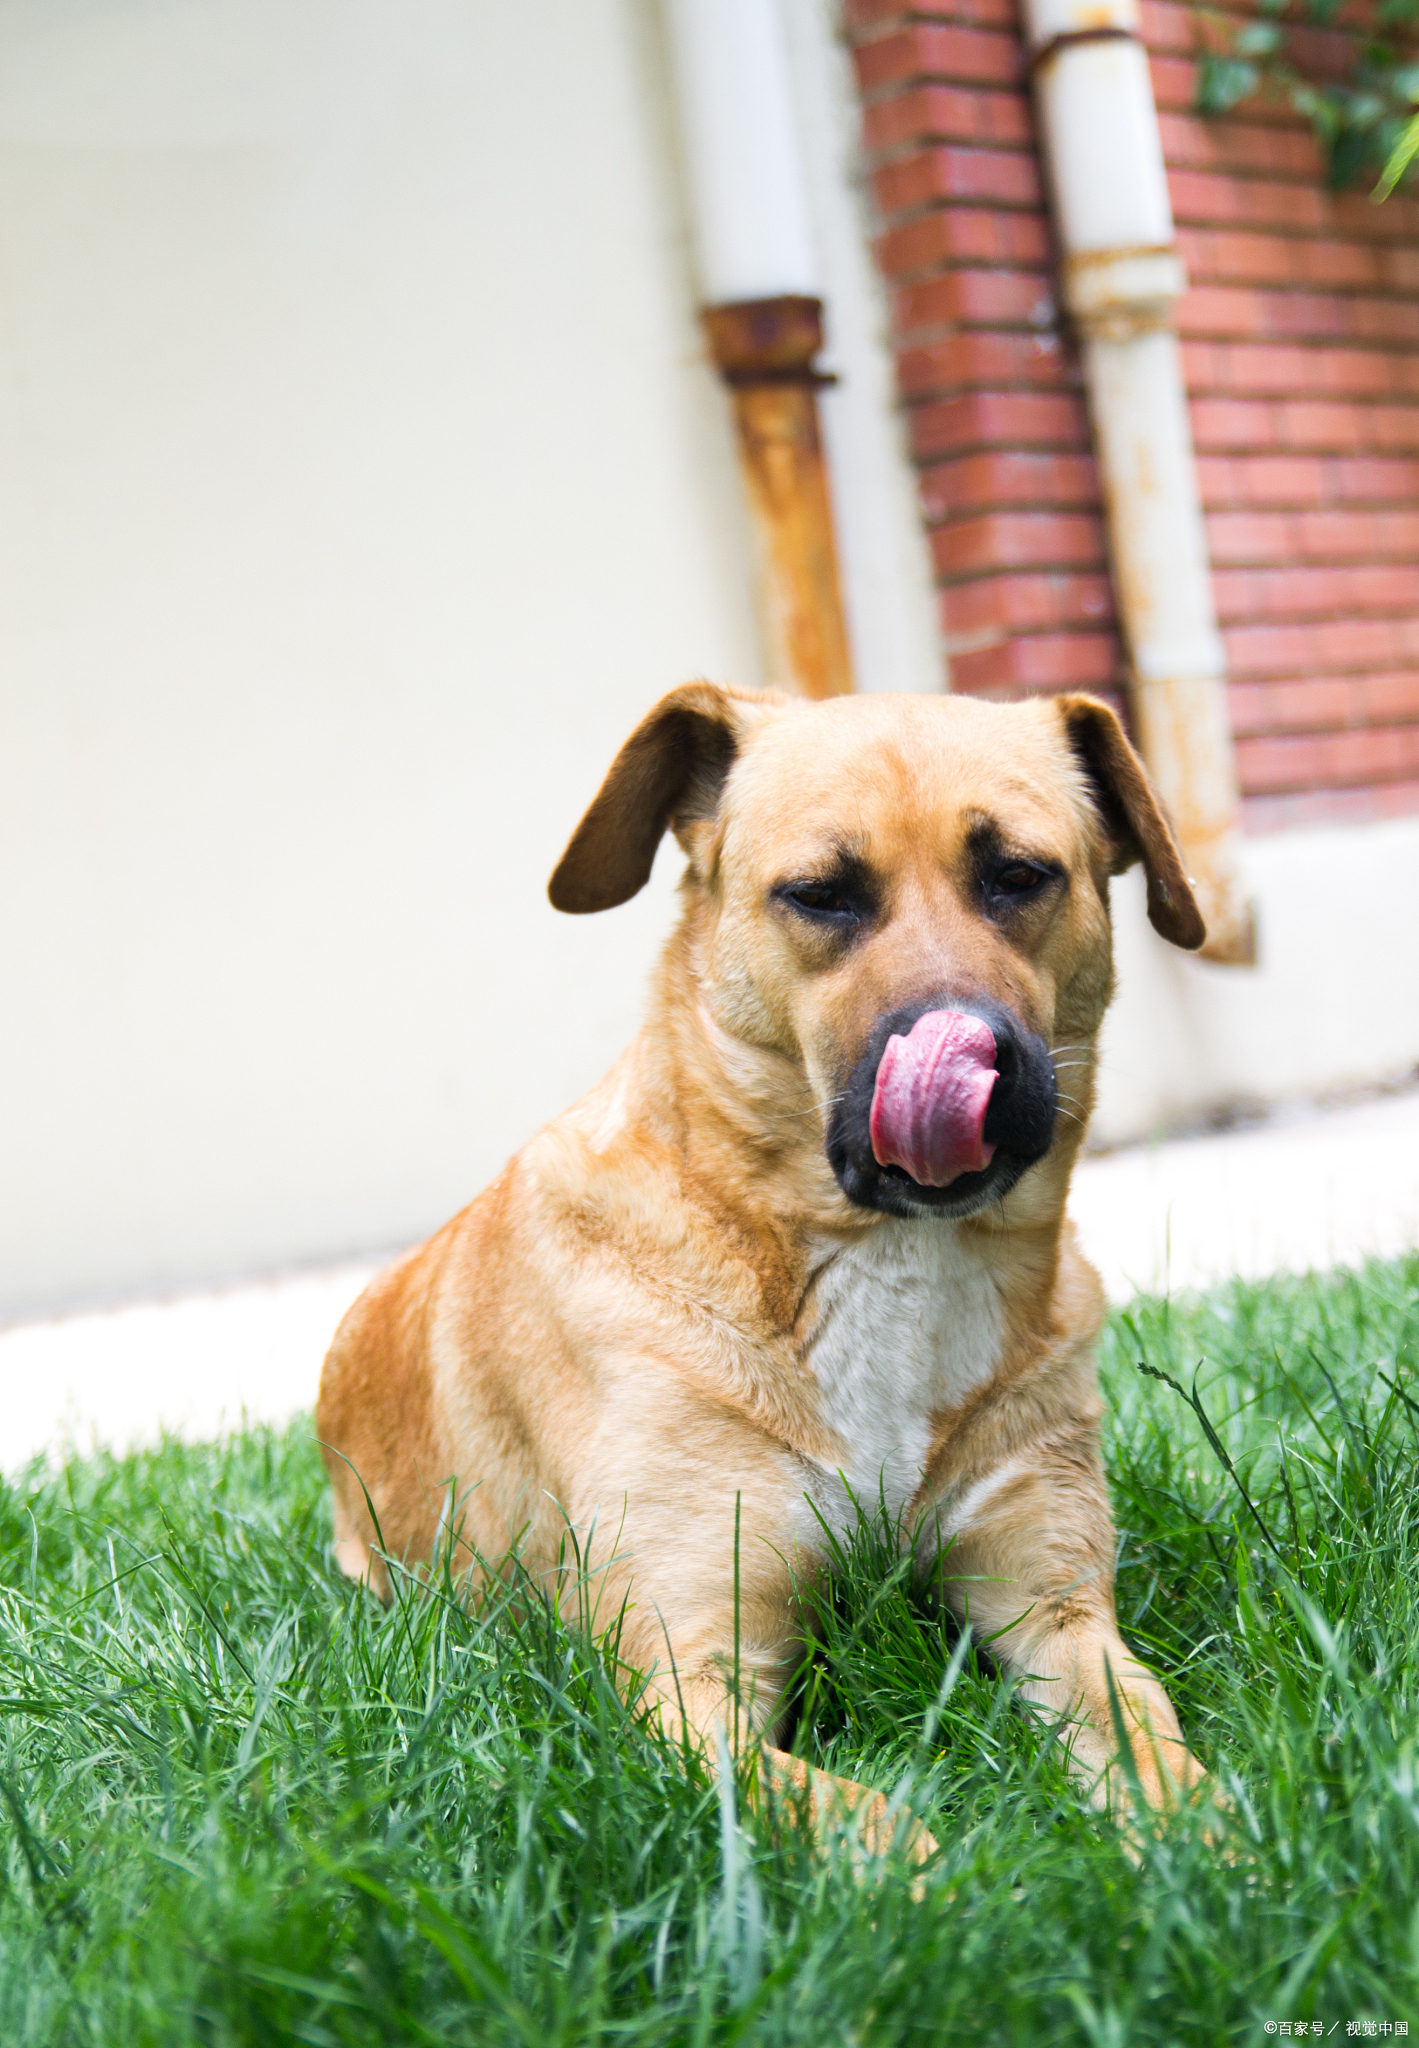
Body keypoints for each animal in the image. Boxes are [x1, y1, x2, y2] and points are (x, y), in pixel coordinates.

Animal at [317, 679, 1204, 1835]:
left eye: (1018, 875)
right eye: (820, 894)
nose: (977, 1057)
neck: (879, 1258)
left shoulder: (1056, 1606)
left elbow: (1158, 1753)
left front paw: (1211, 1850)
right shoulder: (688, 1679)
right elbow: (875, 1823)